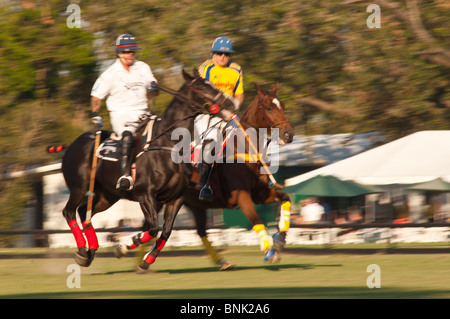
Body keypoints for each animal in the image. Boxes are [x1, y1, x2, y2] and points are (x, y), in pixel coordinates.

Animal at [61, 69, 237, 270]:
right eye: (202, 87)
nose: (231, 104)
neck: (169, 145)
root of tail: (72, 145)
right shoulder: (145, 194)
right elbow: (153, 228)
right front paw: (123, 246)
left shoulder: (175, 198)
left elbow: (165, 231)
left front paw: (145, 261)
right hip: (79, 186)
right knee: (69, 212)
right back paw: (83, 251)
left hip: (108, 195)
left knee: (84, 211)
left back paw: (91, 251)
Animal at [183, 84, 296, 268]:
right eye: (268, 108)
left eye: (283, 106)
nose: (288, 134)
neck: (245, 148)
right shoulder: (241, 195)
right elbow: (256, 219)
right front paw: (270, 252)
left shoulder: (259, 193)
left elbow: (285, 198)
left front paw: (279, 238)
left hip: (194, 205)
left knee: (199, 231)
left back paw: (221, 262)